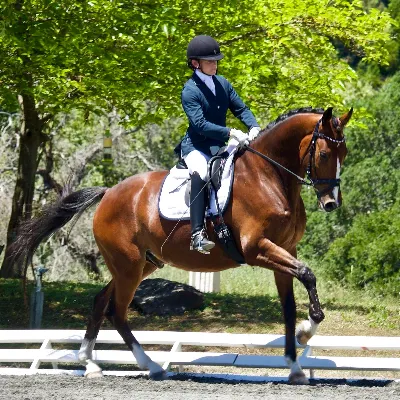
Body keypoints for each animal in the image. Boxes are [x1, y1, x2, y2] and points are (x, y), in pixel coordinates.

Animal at [10, 106, 354, 384]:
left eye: (345, 154)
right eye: (324, 155)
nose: (331, 204)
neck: (269, 176)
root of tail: (108, 192)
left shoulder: (285, 250)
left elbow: (289, 306)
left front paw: (295, 364)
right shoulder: (257, 249)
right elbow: (308, 274)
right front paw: (306, 331)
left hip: (141, 264)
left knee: (100, 302)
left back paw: (91, 364)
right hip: (129, 266)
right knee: (117, 312)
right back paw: (150, 366)